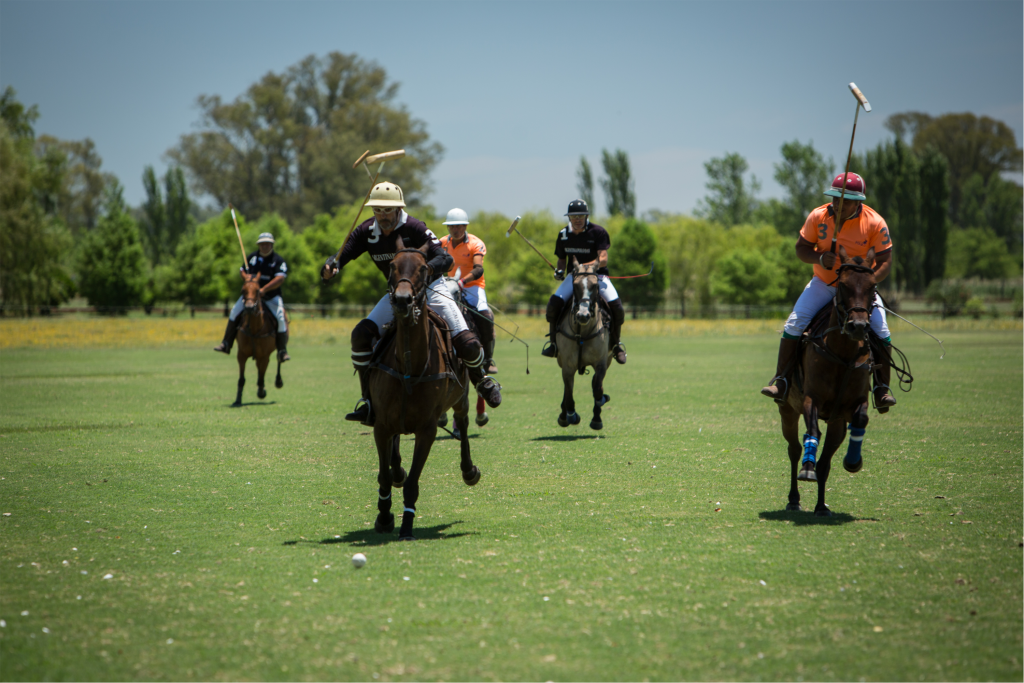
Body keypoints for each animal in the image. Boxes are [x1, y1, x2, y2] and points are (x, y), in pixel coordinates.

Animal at [231, 274, 282, 409]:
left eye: (258, 291)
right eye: (242, 290)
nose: (249, 308)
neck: (254, 329)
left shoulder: (264, 356)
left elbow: (261, 376)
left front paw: (261, 392)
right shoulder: (241, 355)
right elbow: (241, 379)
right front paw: (237, 400)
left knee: (279, 359)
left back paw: (278, 381)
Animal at [368, 245, 479, 540]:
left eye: (423, 268)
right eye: (392, 266)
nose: (402, 300)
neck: (410, 364)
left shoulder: (426, 430)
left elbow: (413, 483)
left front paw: (406, 525)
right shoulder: (381, 425)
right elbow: (384, 475)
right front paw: (384, 516)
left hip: (461, 397)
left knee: (463, 423)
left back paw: (469, 470)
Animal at [557, 259, 610, 430]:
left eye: (595, 286)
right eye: (575, 285)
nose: (583, 315)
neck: (583, 332)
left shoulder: (601, 363)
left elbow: (598, 390)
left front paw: (599, 408)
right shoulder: (567, 366)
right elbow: (568, 393)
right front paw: (570, 414)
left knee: (595, 384)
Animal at [778, 248, 876, 516]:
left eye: (873, 286)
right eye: (843, 285)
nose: (858, 326)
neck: (842, 354)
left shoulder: (854, 404)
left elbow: (861, 418)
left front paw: (853, 461)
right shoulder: (812, 398)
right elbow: (812, 431)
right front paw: (806, 469)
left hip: (836, 422)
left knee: (825, 462)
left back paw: (821, 506)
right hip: (788, 410)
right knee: (794, 449)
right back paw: (794, 497)